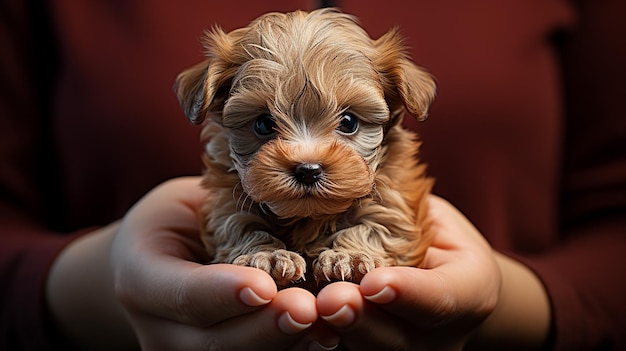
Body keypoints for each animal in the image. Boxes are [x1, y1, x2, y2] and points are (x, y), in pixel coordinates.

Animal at [173, 8, 432, 288]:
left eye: (348, 122)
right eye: (263, 124)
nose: (308, 170)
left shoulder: (393, 197)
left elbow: (377, 225)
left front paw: (349, 256)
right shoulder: (227, 202)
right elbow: (238, 224)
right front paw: (266, 255)